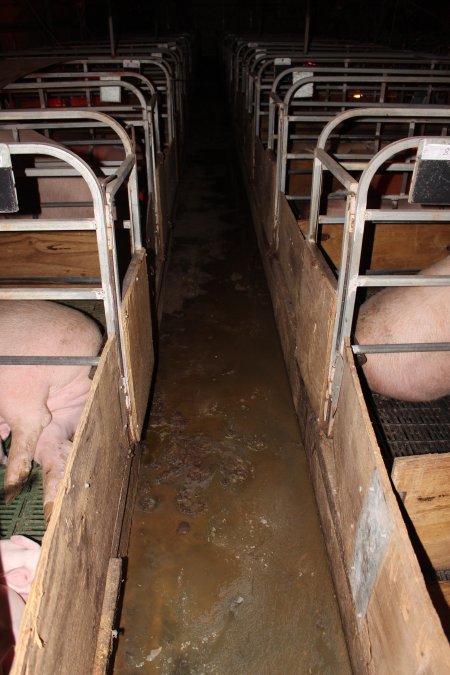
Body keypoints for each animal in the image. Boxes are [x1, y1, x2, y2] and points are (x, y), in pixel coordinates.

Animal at [0, 302, 102, 524]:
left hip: (20, 379)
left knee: (32, 421)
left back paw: (10, 491)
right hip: (64, 410)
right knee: (55, 450)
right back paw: (51, 511)